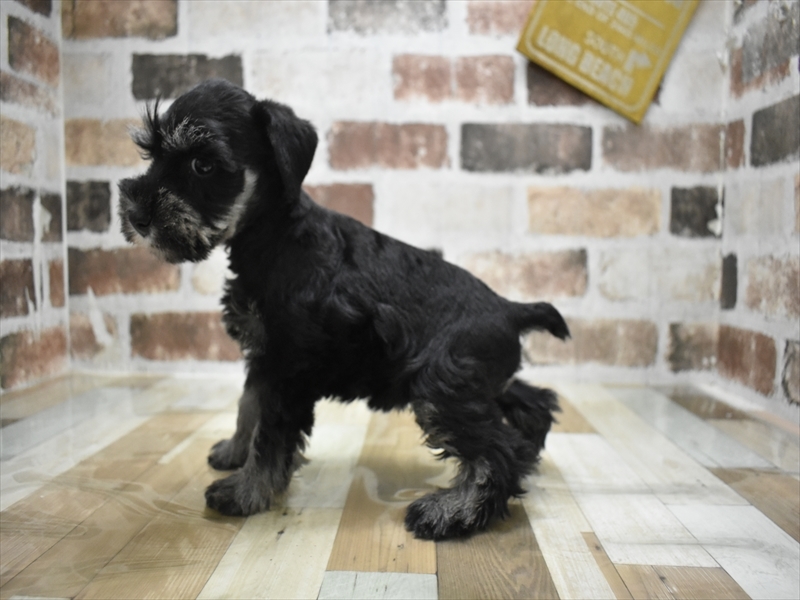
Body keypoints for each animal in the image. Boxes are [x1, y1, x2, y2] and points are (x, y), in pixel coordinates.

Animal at [118, 79, 569, 540]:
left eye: (203, 165)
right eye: (151, 154)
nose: (136, 216)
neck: (274, 238)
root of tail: (509, 308)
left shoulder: (286, 370)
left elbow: (270, 433)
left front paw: (245, 492)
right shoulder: (264, 357)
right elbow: (249, 405)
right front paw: (234, 452)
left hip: (442, 388)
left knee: (495, 452)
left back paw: (450, 512)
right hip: (475, 380)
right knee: (533, 404)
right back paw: (528, 456)